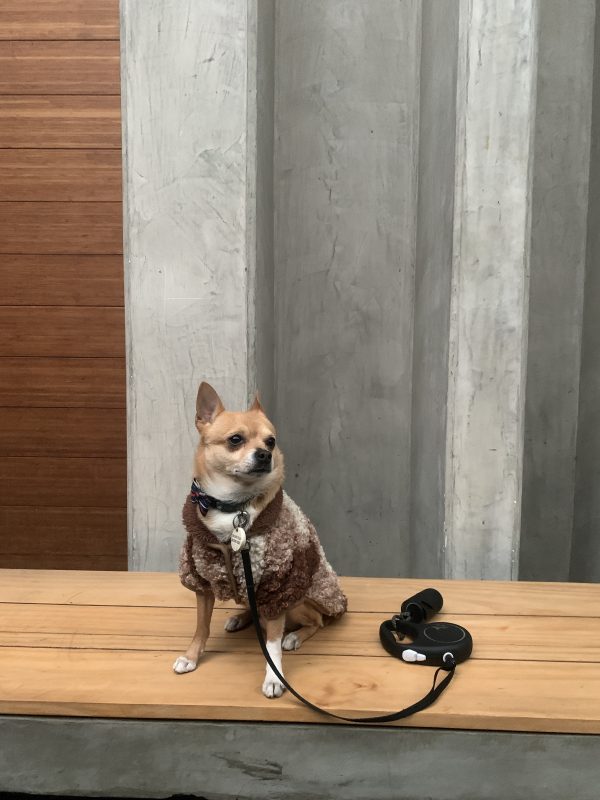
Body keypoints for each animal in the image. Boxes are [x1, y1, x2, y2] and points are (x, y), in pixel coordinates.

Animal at [173, 381, 347, 698]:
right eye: (235, 440)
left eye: (271, 441)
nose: (265, 454)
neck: (233, 507)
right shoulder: (201, 580)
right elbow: (201, 626)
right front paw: (191, 656)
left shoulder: (277, 586)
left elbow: (272, 644)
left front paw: (274, 678)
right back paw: (241, 618)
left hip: (300, 600)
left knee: (315, 622)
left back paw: (295, 636)